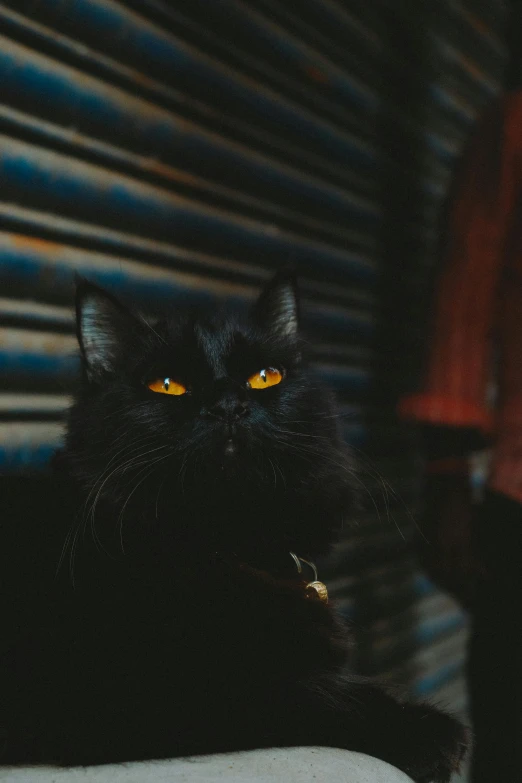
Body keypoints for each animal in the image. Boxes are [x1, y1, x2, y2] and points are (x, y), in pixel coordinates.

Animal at [1, 272, 468, 780]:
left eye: (264, 377)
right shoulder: (157, 692)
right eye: (167, 385)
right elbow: (320, 691)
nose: (228, 404)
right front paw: (427, 731)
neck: (222, 544)